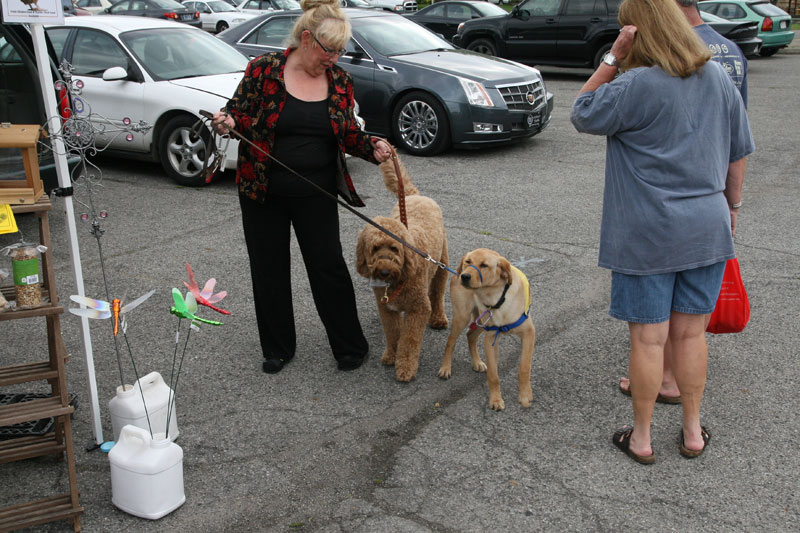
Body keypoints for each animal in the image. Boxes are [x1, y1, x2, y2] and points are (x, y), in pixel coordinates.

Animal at [356, 156, 450, 380]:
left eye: (394, 248)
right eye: (375, 248)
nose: (384, 271)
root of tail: (413, 195)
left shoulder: (418, 308)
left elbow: (409, 340)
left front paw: (406, 367)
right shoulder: (386, 308)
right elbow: (393, 333)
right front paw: (392, 355)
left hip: (442, 265)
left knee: (437, 293)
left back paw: (438, 318)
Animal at [440, 247, 536, 410]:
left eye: (484, 265)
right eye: (468, 261)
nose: (464, 276)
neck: (495, 297)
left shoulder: (529, 333)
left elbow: (524, 368)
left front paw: (524, 396)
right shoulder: (490, 339)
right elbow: (493, 375)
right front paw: (496, 399)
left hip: (480, 321)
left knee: (470, 335)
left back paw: (477, 362)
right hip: (463, 317)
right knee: (450, 341)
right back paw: (446, 367)